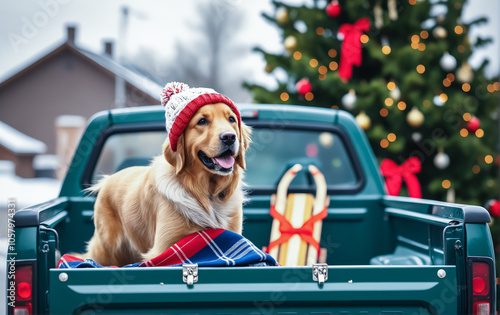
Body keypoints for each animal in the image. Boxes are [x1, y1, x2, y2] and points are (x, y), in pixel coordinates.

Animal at [83, 103, 252, 266]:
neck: (206, 194)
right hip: (108, 247)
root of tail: (106, 180)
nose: (229, 137)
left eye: (231, 119)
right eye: (202, 121)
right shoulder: (164, 249)